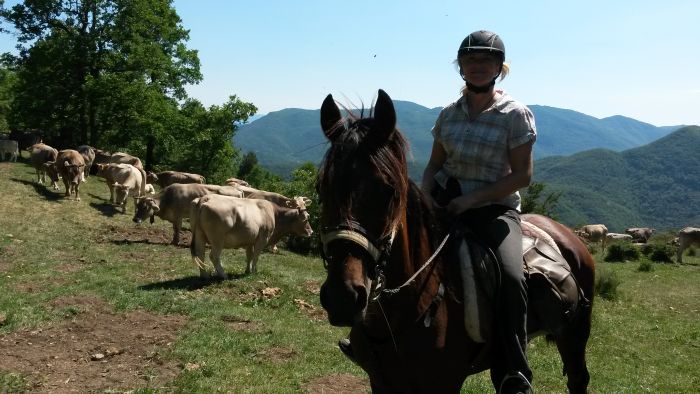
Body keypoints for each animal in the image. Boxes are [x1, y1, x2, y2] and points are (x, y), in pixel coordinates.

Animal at [318, 90, 596, 394]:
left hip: (575, 332)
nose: (343, 297)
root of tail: (566, 234)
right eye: (321, 188)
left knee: (577, 378)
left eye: (390, 192)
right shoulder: (380, 381)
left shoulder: (444, 383)